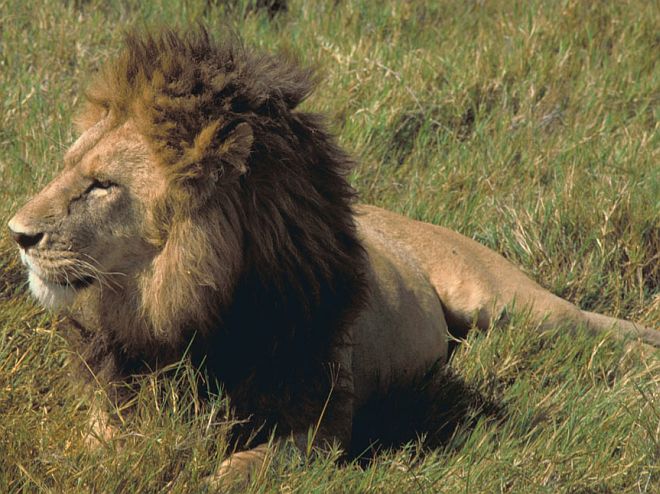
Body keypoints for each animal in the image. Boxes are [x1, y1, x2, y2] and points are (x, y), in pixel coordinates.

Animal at [8, 28, 659, 482]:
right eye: (67, 167)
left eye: (102, 185)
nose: (16, 233)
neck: (180, 308)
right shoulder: (107, 397)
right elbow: (110, 445)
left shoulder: (321, 420)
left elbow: (247, 468)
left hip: (504, 300)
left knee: (586, 321)